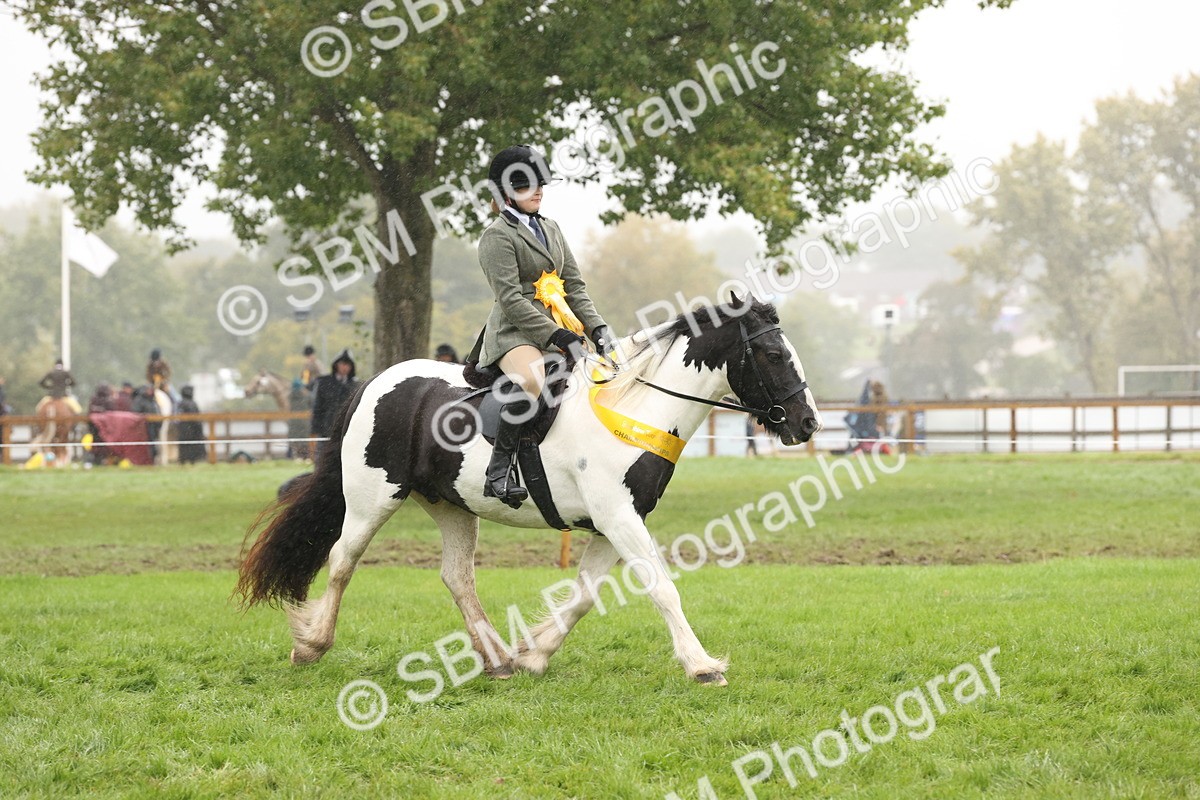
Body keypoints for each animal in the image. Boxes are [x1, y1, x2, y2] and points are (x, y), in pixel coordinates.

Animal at [236, 297, 822, 686]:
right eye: (773, 354)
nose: (808, 423)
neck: (636, 410)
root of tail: (375, 382)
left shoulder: (611, 525)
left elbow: (584, 595)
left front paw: (534, 655)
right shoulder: (619, 518)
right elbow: (661, 588)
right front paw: (701, 666)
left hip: (451, 504)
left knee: (457, 576)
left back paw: (497, 659)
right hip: (372, 498)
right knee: (342, 560)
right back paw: (312, 646)